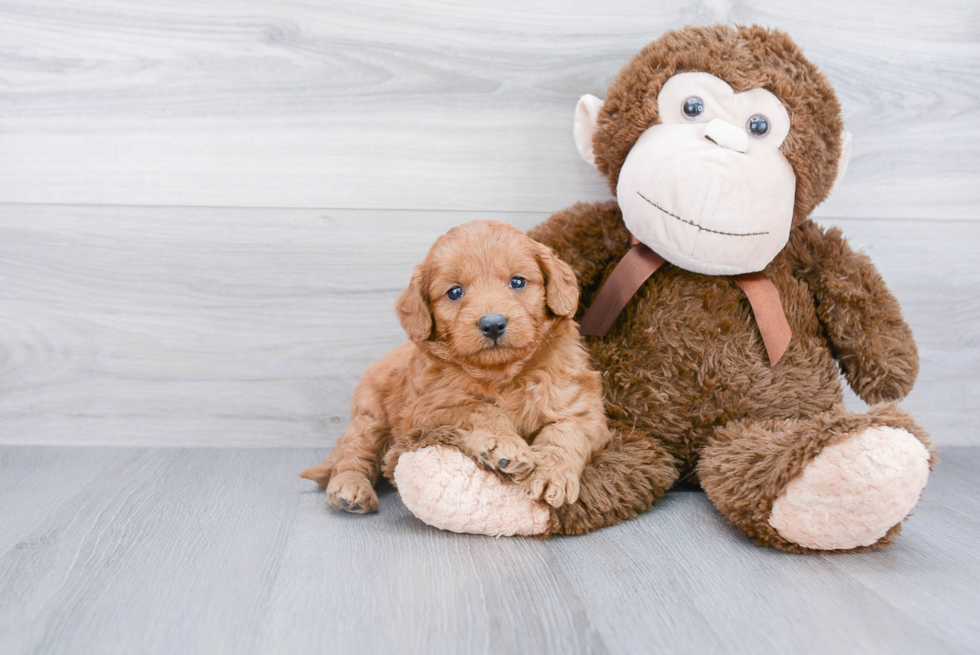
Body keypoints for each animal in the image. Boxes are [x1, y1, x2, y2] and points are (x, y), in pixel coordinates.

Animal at [298, 222, 608, 516]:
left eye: (518, 282)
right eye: (455, 292)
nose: (493, 324)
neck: (502, 374)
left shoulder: (579, 403)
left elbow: (567, 432)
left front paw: (551, 474)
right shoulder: (426, 409)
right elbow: (478, 408)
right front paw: (502, 444)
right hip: (370, 415)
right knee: (353, 454)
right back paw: (350, 489)